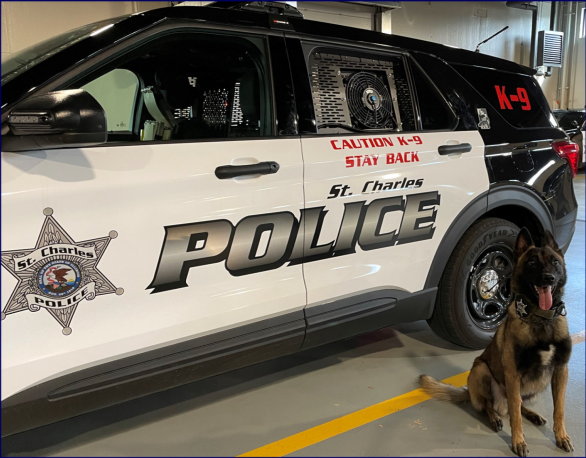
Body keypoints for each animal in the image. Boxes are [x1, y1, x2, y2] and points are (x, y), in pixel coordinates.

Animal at [418, 229, 572, 454]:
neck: (541, 319)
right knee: (489, 405)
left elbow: (559, 409)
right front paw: (518, 441)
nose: (549, 278)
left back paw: (533, 414)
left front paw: (561, 436)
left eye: (555, 262)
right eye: (532, 262)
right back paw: (494, 418)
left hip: (534, 386)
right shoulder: (513, 373)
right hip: (481, 370)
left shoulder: (561, 370)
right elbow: (515, 416)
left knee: (518, 403)